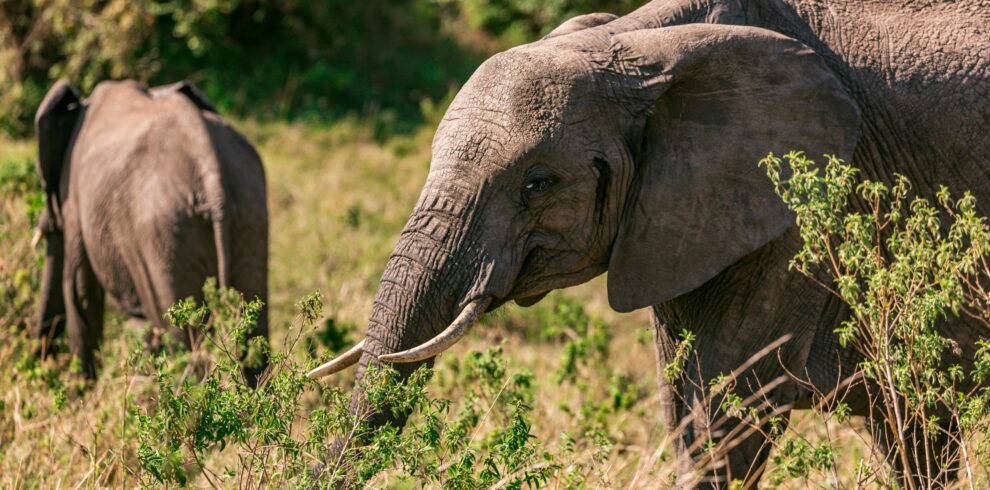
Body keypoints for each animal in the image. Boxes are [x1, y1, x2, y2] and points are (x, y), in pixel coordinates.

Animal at [33, 79, 269, 386]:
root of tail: (211, 173)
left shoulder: (73, 197)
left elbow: (80, 292)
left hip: (164, 231)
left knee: (180, 338)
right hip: (248, 211)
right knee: (253, 335)